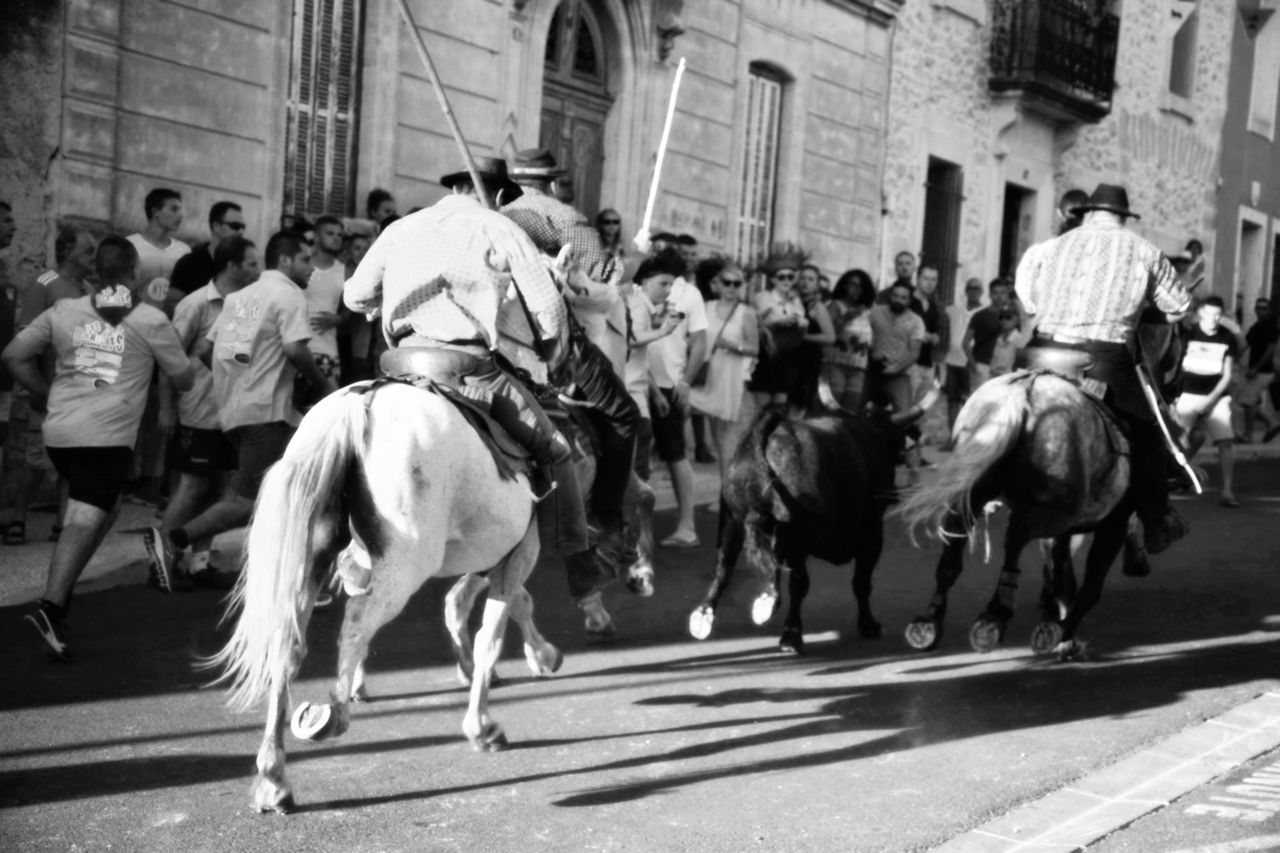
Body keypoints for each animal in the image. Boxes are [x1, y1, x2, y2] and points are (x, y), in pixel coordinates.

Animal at [212, 379, 563, 809]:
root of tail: (353, 404)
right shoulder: (518, 551)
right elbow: (492, 634)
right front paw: (484, 724)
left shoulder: (495, 557)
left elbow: (497, 606)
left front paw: (534, 656)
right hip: (406, 564)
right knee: (358, 623)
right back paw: (334, 716)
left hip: (313, 559)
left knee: (288, 644)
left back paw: (273, 777)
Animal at [691, 389, 931, 653]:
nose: (896, 495)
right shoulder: (871, 534)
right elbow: (861, 582)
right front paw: (868, 625)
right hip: (795, 535)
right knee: (793, 581)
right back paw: (779, 618)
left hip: (733, 521)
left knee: (724, 566)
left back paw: (704, 614)